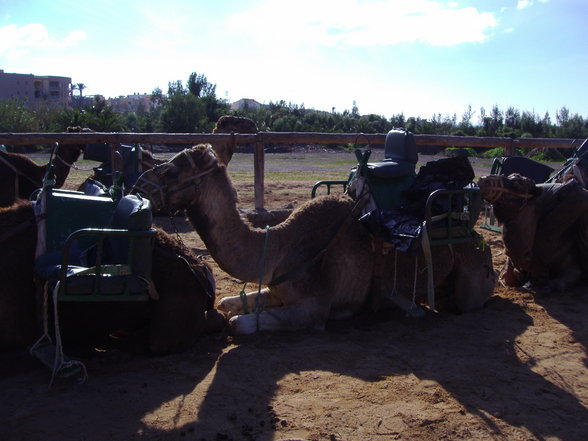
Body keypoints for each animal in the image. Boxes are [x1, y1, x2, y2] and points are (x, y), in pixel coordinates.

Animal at [133, 144, 496, 334]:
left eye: (171, 170)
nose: (138, 185)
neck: (277, 248)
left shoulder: (314, 308)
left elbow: (239, 323)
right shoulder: (279, 287)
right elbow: (228, 303)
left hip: (472, 278)